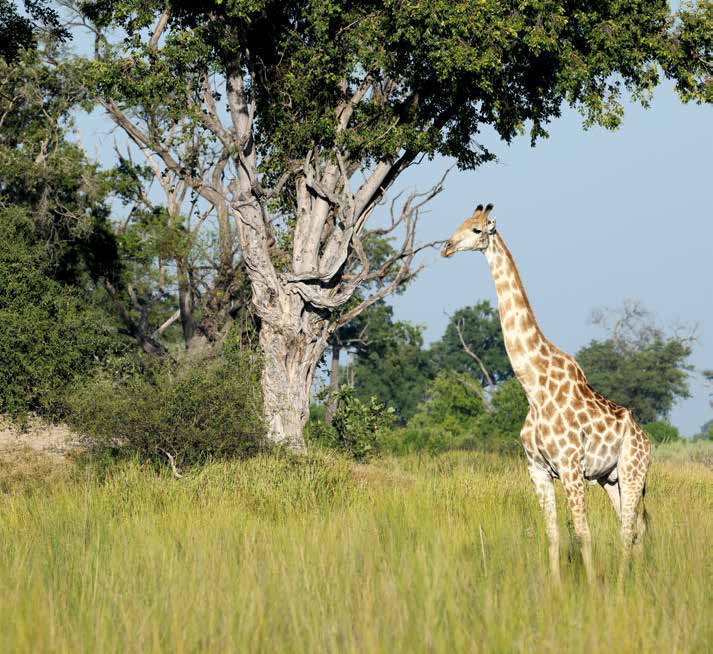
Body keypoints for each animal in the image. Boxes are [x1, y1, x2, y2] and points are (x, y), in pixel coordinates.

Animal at [441, 204, 650, 583]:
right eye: (461, 223)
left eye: (477, 229)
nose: (447, 247)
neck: (534, 387)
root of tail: (647, 439)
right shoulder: (537, 469)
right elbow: (552, 533)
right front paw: (555, 587)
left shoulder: (570, 467)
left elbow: (582, 532)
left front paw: (591, 586)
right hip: (610, 479)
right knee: (634, 528)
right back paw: (636, 577)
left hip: (633, 471)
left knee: (628, 529)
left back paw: (622, 583)